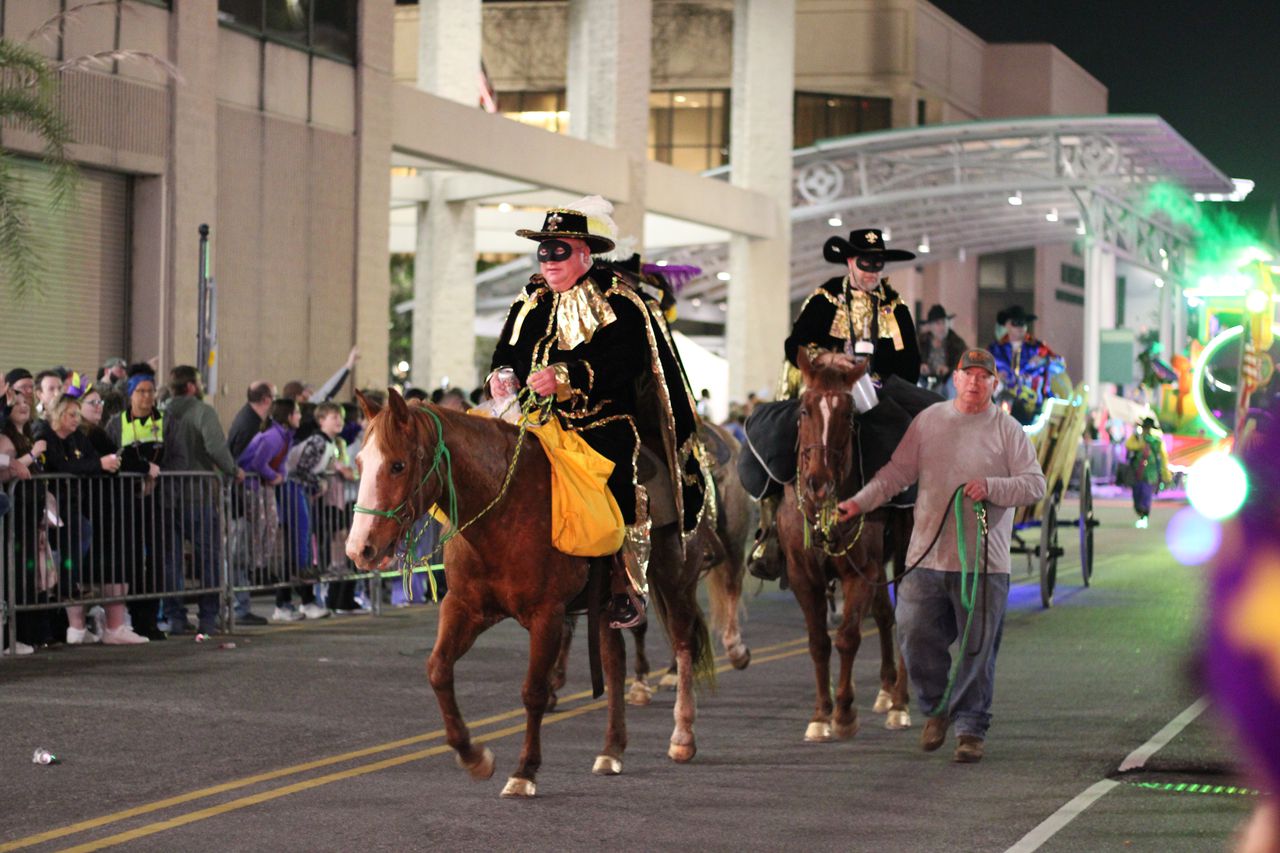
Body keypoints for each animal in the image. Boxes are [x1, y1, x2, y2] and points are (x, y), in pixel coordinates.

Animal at [345, 389, 716, 794]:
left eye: (397, 465)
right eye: (360, 462)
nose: (359, 548)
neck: (504, 512)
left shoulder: (547, 615)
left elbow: (533, 691)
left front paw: (524, 771)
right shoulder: (464, 607)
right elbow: (438, 670)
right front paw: (474, 757)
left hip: (675, 578)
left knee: (683, 644)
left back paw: (682, 736)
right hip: (607, 605)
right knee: (615, 664)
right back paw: (612, 749)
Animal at [773, 348, 916, 742]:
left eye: (848, 414)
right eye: (804, 409)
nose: (817, 482)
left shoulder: (861, 570)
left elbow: (848, 636)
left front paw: (844, 713)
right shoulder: (802, 574)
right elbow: (819, 641)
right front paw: (821, 715)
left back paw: (899, 704)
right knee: (884, 613)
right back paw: (886, 690)